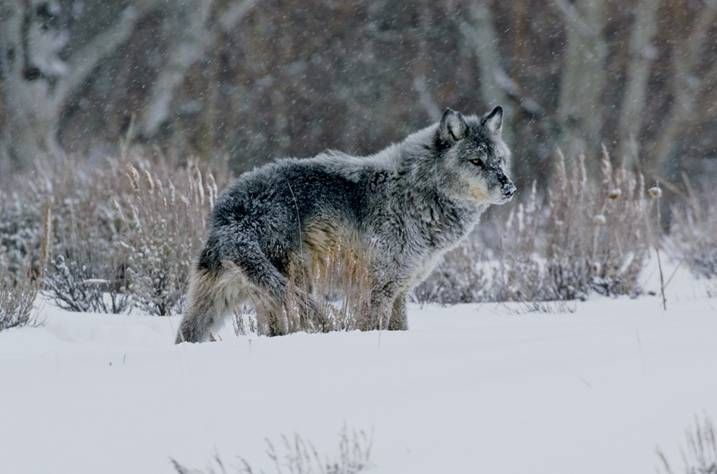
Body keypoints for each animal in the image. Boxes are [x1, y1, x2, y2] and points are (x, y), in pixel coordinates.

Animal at [177, 105, 516, 342]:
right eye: (476, 162)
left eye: (499, 160)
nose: (510, 188)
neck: (418, 192)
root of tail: (231, 214)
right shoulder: (379, 288)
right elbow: (375, 328)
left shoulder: (400, 291)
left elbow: (400, 328)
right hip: (294, 287)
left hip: (216, 301)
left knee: (186, 334)